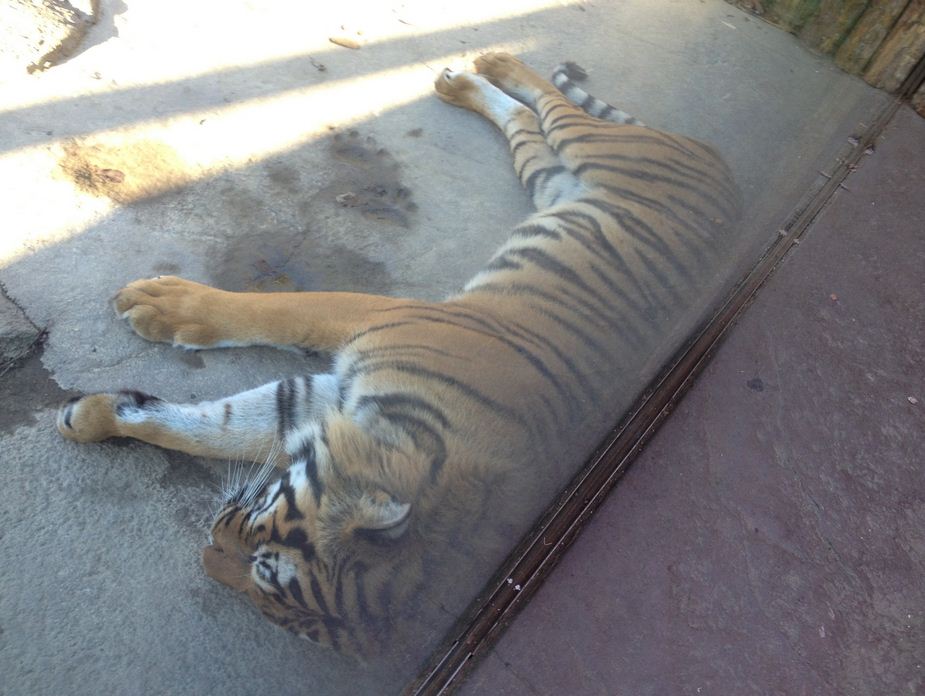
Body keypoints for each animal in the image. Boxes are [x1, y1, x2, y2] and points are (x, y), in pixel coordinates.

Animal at [56, 53, 740, 657]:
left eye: (259, 578)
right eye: (261, 544)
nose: (205, 552)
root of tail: (730, 182)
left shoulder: (314, 405)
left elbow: (211, 428)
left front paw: (96, 415)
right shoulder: (374, 322)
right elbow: (277, 313)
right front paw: (158, 308)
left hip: (551, 178)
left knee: (525, 121)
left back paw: (464, 81)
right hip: (591, 150)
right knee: (551, 104)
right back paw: (490, 64)